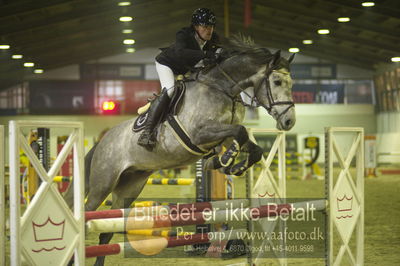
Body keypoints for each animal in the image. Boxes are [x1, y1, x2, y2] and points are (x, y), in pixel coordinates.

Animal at [66, 35, 296, 266]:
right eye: (277, 81)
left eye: (291, 84)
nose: (289, 121)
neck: (222, 88)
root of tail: (102, 141)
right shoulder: (199, 133)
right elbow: (239, 132)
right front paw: (225, 160)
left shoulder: (225, 135)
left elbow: (252, 147)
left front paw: (229, 166)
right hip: (103, 183)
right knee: (88, 213)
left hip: (131, 186)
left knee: (108, 228)